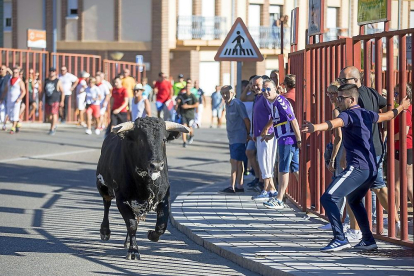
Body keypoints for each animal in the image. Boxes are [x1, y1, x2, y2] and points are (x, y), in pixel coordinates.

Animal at [96, 117, 188, 260]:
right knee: (107, 204)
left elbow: (161, 225)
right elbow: (132, 224)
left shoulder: (164, 197)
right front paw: (133, 250)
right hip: (102, 186)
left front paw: (151, 235)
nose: (156, 165)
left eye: (164, 139)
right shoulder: (121, 199)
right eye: (141, 140)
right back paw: (105, 231)